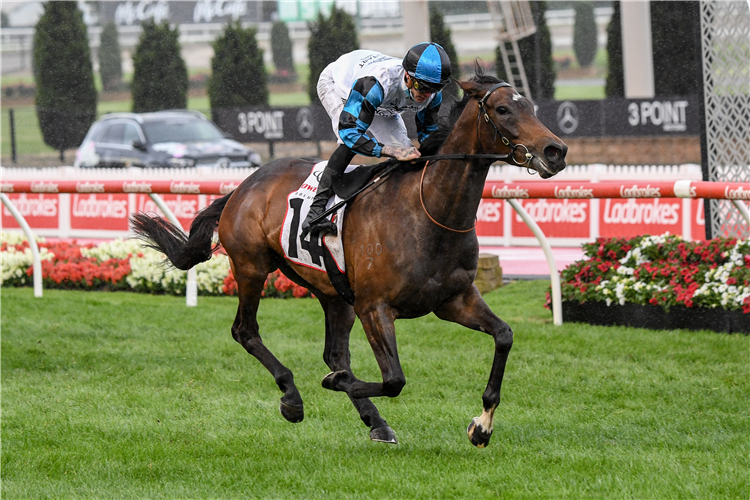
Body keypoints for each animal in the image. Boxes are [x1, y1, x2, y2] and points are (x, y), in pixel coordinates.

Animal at [132, 71, 568, 450]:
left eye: (530, 106)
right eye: (503, 109)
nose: (556, 151)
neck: (429, 211)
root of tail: (244, 186)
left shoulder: (454, 300)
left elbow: (504, 336)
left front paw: (482, 425)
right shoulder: (374, 307)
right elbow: (394, 380)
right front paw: (333, 383)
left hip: (332, 290)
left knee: (334, 352)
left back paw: (374, 420)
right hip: (252, 266)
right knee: (246, 331)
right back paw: (292, 397)